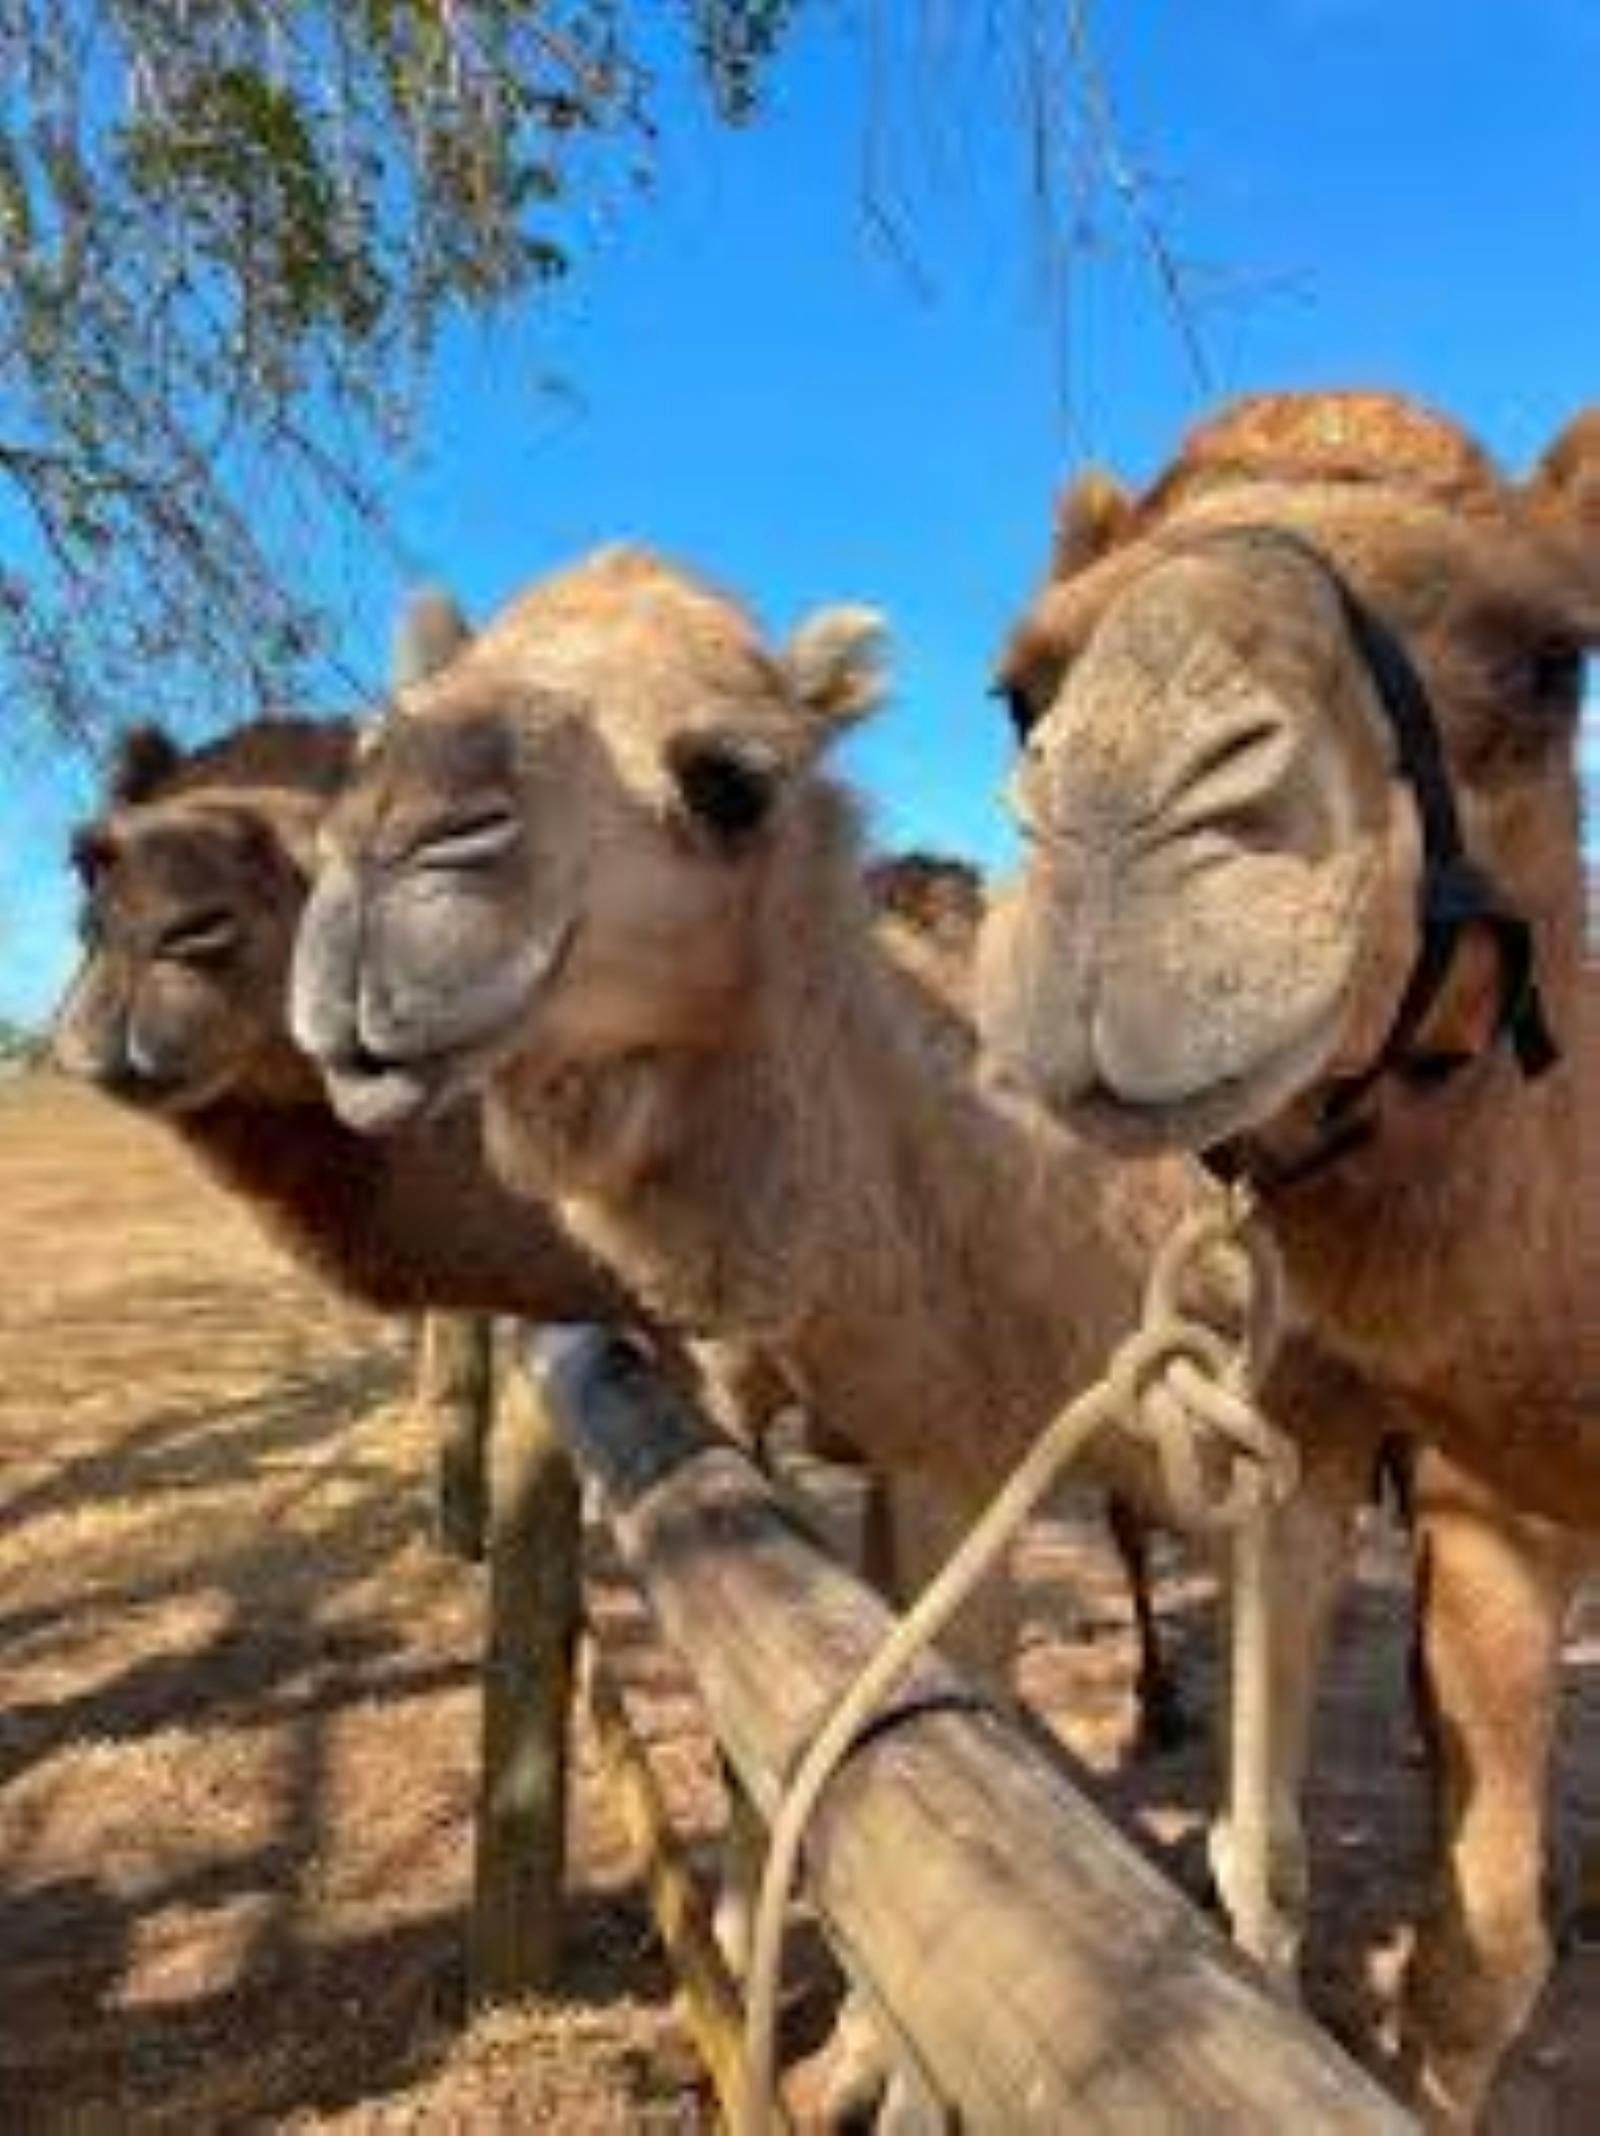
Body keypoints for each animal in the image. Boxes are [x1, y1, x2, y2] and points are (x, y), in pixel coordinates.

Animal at [977, 389, 1598, 2124]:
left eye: (1556, 661)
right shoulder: (1413, 1459)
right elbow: (1326, 1888)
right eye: (1020, 688)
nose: (1122, 815)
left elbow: (1478, 1961)